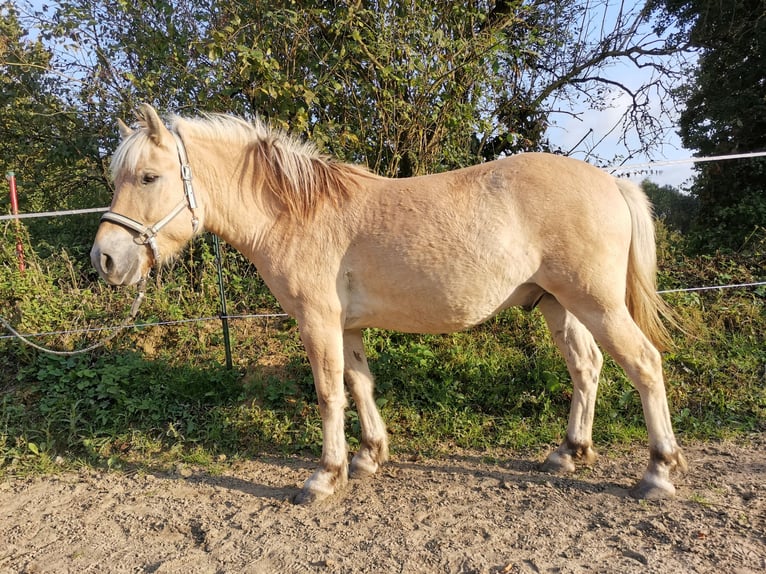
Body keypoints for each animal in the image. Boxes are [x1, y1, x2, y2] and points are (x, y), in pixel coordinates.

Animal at [91, 106, 688, 506]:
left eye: (148, 176)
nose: (106, 259)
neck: (296, 213)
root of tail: (612, 183)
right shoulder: (346, 327)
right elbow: (360, 385)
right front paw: (369, 456)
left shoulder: (317, 322)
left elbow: (329, 393)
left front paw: (325, 476)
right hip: (558, 305)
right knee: (587, 368)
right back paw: (569, 452)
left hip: (595, 303)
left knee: (644, 365)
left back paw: (658, 472)